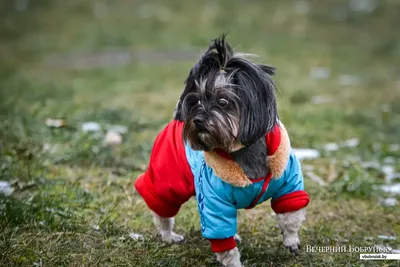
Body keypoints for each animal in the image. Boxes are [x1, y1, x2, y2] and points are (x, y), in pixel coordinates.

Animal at [134, 35, 310, 267]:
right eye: (197, 101)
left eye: (223, 101)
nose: (198, 119)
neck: (242, 152)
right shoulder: (214, 202)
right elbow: (224, 243)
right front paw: (234, 262)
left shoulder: (288, 183)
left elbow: (291, 215)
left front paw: (291, 241)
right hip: (168, 181)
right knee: (162, 210)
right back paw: (168, 236)